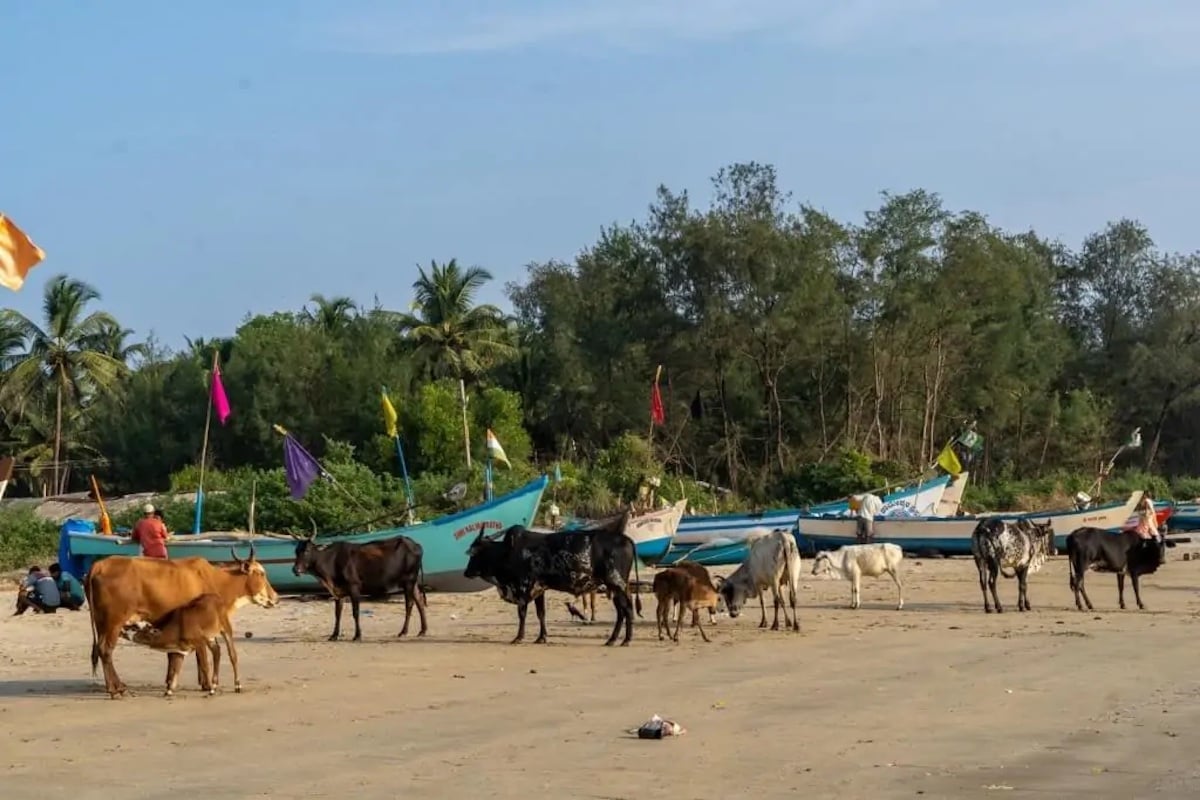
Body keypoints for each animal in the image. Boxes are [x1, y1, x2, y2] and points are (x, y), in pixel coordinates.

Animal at [292, 527, 429, 642]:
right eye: (296, 551)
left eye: (307, 550)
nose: (295, 569)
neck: (331, 561)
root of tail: (416, 545)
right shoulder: (339, 592)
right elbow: (337, 614)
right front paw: (334, 635)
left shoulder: (354, 587)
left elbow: (355, 612)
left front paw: (357, 635)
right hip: (413, 582)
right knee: (420, 601)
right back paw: (422, 630)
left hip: (409, 580)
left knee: (410, 604)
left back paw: (403, 632)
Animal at [463, 522, 643, 647]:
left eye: (473, 553)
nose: (466, 572)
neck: (507, 552)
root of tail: (626, 538)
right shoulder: (539, 589)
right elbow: (541, 614)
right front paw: (541, 637)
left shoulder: (523, 587)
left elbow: (522, 614)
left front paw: (519, 637)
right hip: (614, 587)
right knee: (621, 612)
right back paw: (612, 640)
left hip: (617, 583)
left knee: (627, 609)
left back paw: (626, 640)